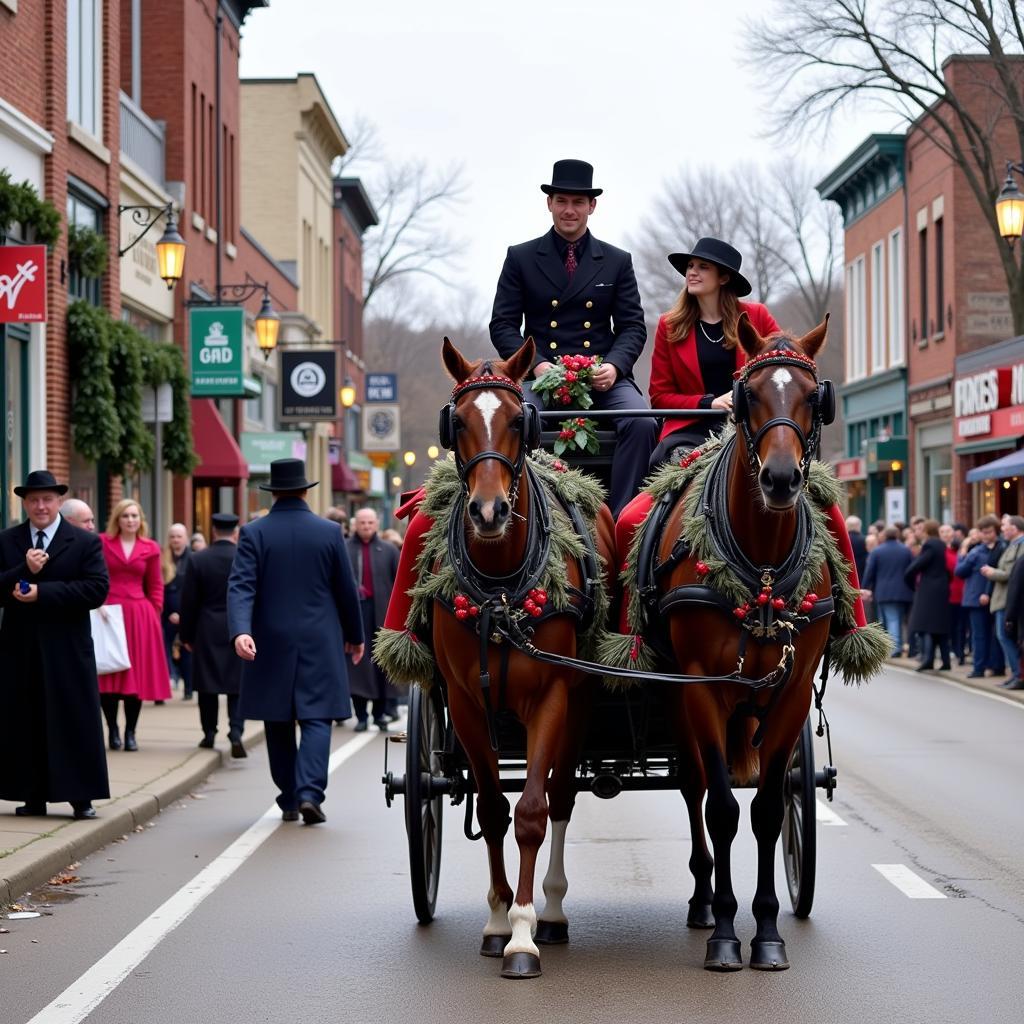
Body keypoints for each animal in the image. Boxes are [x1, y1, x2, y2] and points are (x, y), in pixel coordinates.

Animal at [434, 339, 614, 978]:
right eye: (458, 421)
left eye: (518, 420)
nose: (488, 512)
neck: (499, 588)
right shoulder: (465, 703)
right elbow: (491, 809)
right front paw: (496, 920)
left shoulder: (552, 696)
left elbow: (533, 811)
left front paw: (523, 933)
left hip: (582, 701)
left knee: (562, 797)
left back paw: (553, 913)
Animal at [655, 315, 831, 970]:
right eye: (748, 394)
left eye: (812, 397)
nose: (779, 480)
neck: (760, 566)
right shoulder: (702, 689)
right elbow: (723, 809)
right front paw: (729, 932)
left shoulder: (791, 694)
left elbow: (768, 810)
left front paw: (770, 931)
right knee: (694, 789)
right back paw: (704, 901)